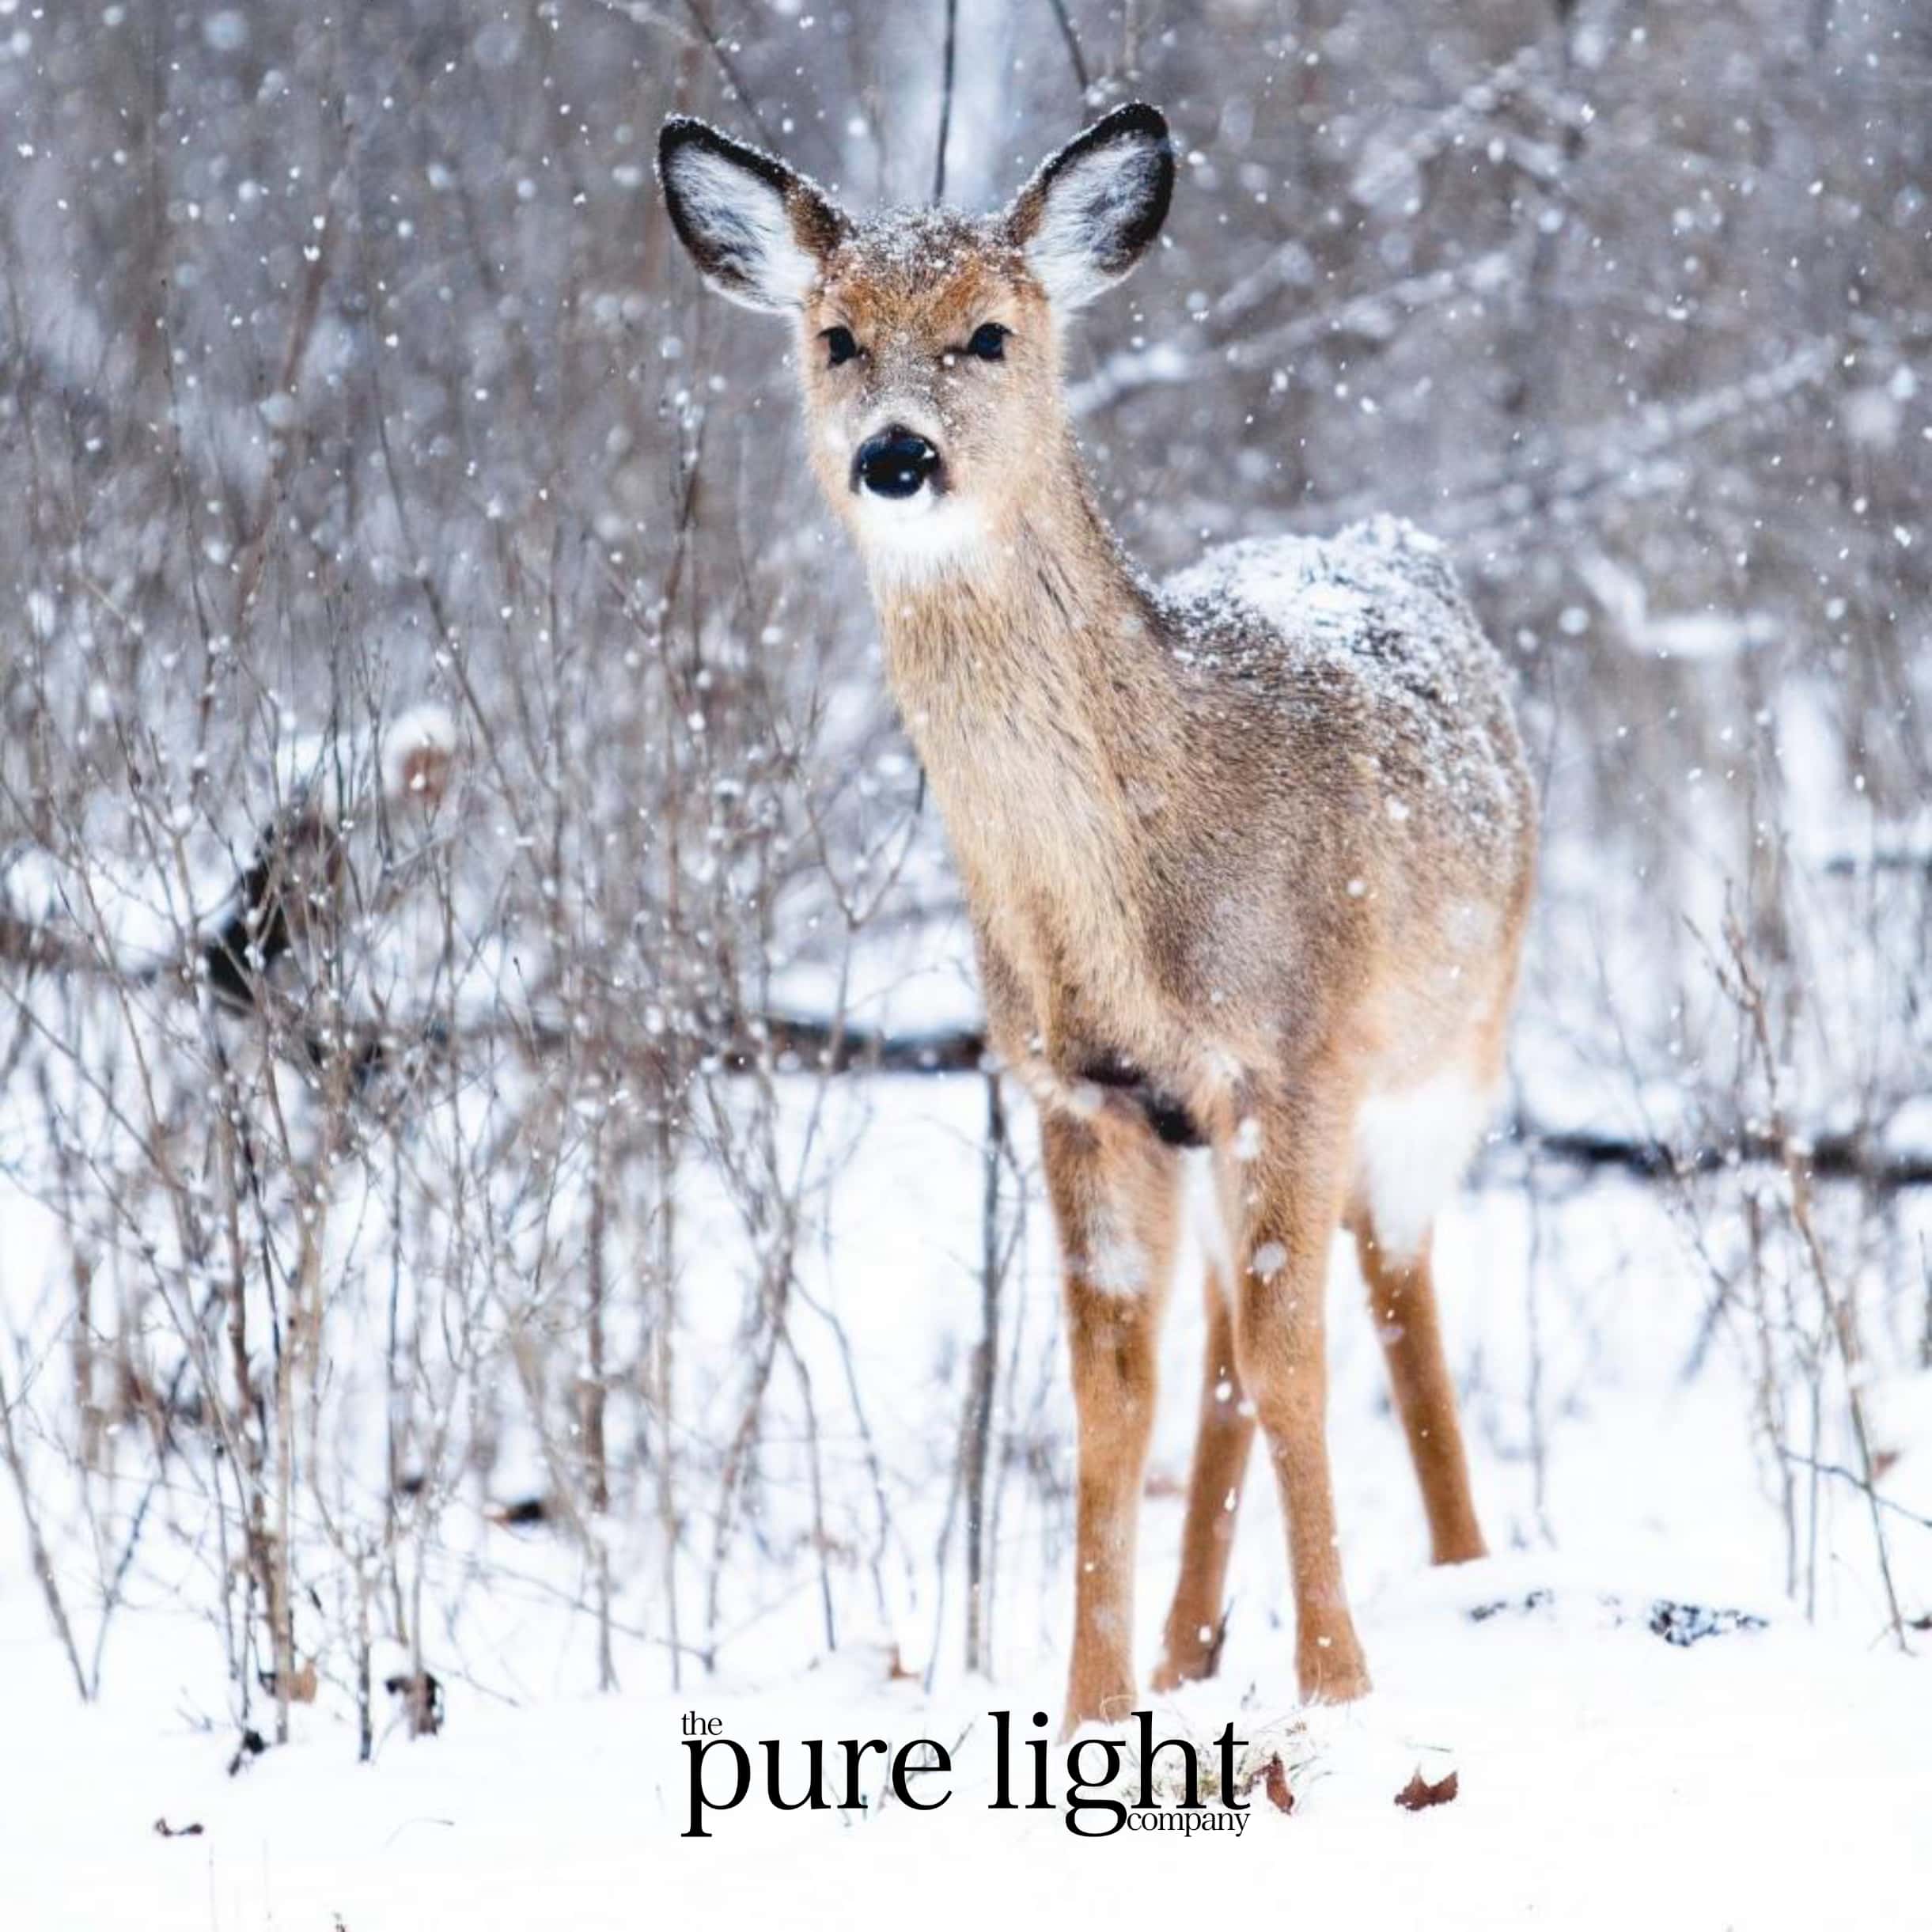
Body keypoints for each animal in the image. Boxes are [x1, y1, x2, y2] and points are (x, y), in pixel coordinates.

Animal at [657, 101, 1536, 1735]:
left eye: (990, 333)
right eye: (835, 335)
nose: (894, 453)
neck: (1138, 896)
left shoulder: (1297, 1057)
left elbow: (1298, 1363)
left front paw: (1338, 1686)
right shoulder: (1080, 1091)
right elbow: (1113, 1400)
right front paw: (1090, 1707)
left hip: (1451, 1050)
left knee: (1391, 1291)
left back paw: (1465, 1571)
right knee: (1223, 1353)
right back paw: (1193, 1647)